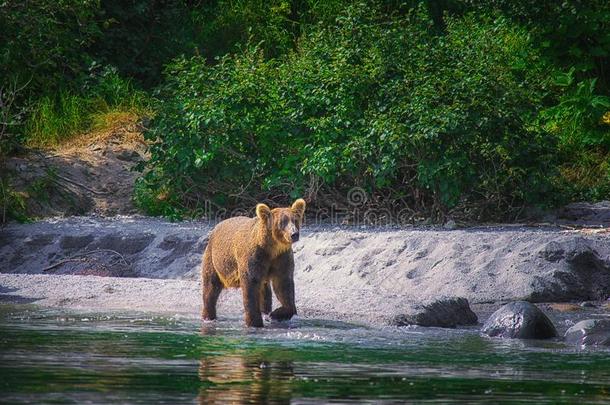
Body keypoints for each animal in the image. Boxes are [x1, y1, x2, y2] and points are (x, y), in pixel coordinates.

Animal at [200, 197, 304, 326]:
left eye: (295, 220)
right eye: (282, 222)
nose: (294, 234)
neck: (271, 248)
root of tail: (216, 227)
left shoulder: (281, 258)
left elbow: (284, 284)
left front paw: (275, 315)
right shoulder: (254, 257)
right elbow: (251, 285)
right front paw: (254, 322)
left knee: (264, 289)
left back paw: (266, 311)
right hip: (214, 259)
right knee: (210, 287)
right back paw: (208, 317)